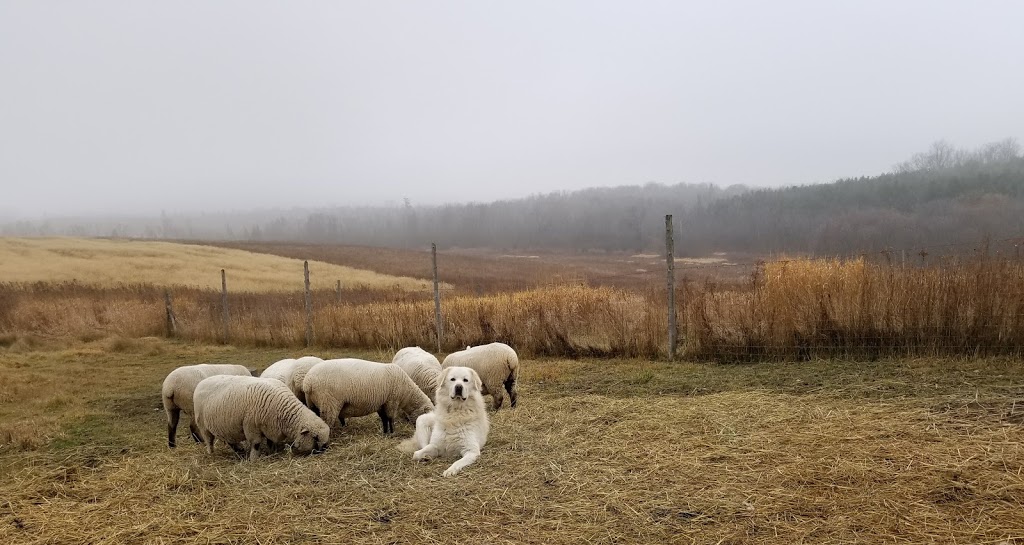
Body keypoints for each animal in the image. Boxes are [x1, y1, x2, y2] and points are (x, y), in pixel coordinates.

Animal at [193, 374, 329, 458]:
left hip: (224, 426)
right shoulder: (251, 426)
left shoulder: (270, 426)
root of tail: (201, 382)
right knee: (209, 440)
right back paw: (211, 453)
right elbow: (256, 444)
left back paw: (239, 450)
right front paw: (254, 459)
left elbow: (270, 442)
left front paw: (272, 452)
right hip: (203, 425)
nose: (324, 450)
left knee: (229, 440)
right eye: (315, 437)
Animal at [301, 360, 434, 436]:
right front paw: (392, 432)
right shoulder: (391, 401)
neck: (406, 393)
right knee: (327, 421)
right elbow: (390, 418)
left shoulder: (382, 403)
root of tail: (308, 382)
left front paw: (385, 432)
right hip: (329, 402)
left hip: (312, 403)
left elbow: (384, 418)